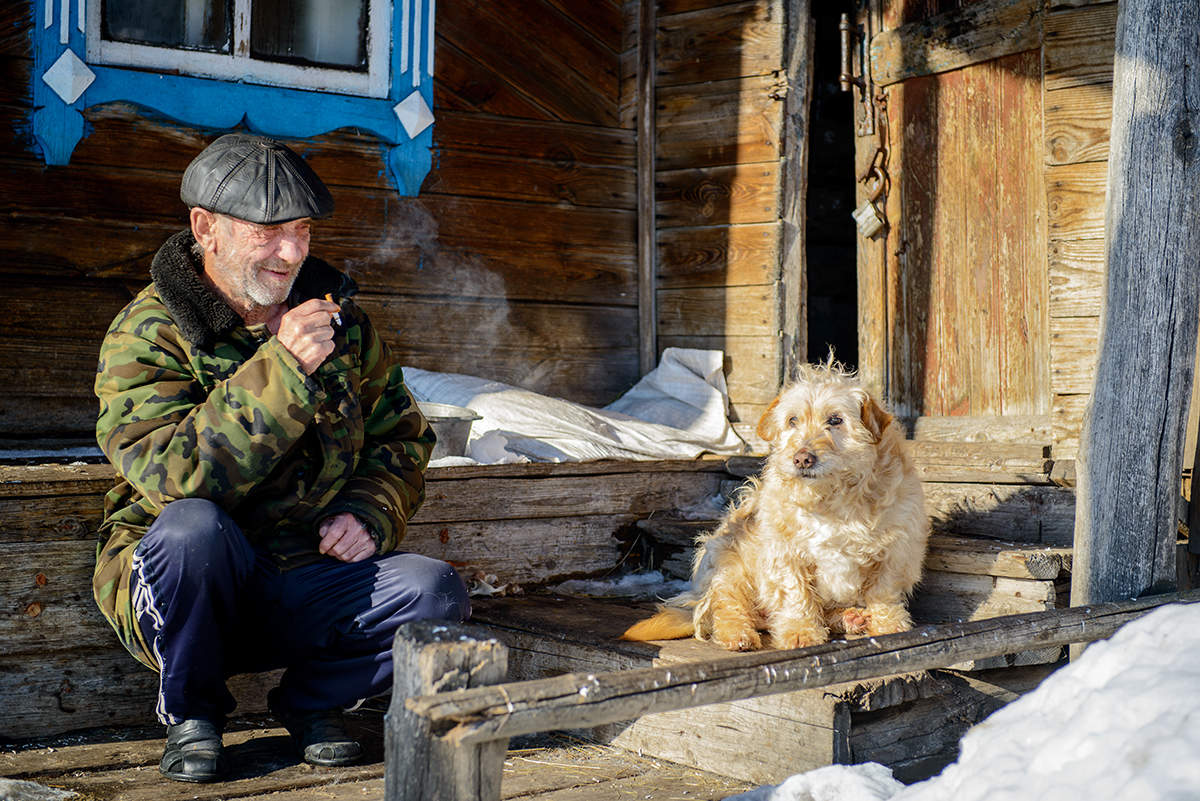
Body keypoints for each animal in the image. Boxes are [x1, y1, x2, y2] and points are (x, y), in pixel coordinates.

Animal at [624, 362, 931, 652]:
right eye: (792, 420)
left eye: (835, 420)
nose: (802, 458)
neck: (831, 498)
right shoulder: (786, 553)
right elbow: (796, 595)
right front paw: (799, 632)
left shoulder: (896, 550)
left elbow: (883, 590)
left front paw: (889, 624)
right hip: (727, 566)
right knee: (725, 609)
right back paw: (738, 635)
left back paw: (851, 617)